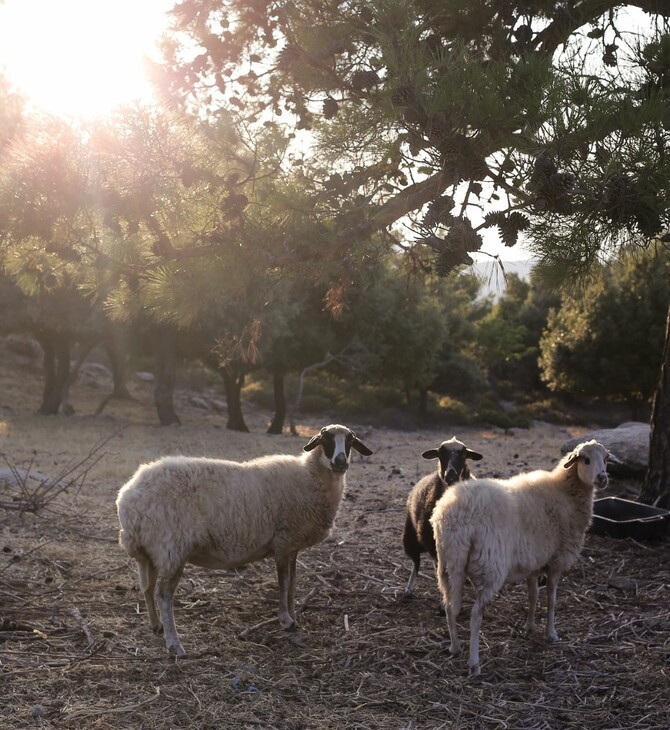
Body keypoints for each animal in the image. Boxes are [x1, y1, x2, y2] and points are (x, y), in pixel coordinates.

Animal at [118, 420, 376, 656]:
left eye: (350, 441)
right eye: (326, 440)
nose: (340, 462)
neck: (311, 478)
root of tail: (128, 498)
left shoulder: (292, 545)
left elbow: (293, 583)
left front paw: (293, 614)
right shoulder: (283, 541)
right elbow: (283, 582)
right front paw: (285, 619)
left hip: (151, 550)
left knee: (147, 587)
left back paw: (156, 625)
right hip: (172, 547)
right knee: (163, 594)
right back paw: (174, 644)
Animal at [430, 436, 620, 672]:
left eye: (606, 458)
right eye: (585, 459)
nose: (602, 478)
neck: (566, 494)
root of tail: (455, 515)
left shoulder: (533, 563)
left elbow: (533, 596)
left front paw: (529, 628)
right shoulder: (556, 560)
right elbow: (551, 600)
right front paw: (551, 634)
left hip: (448, 564)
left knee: (450, 607)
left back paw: (454, 648)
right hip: (490, 567)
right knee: (475, 614)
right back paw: (474, 663)